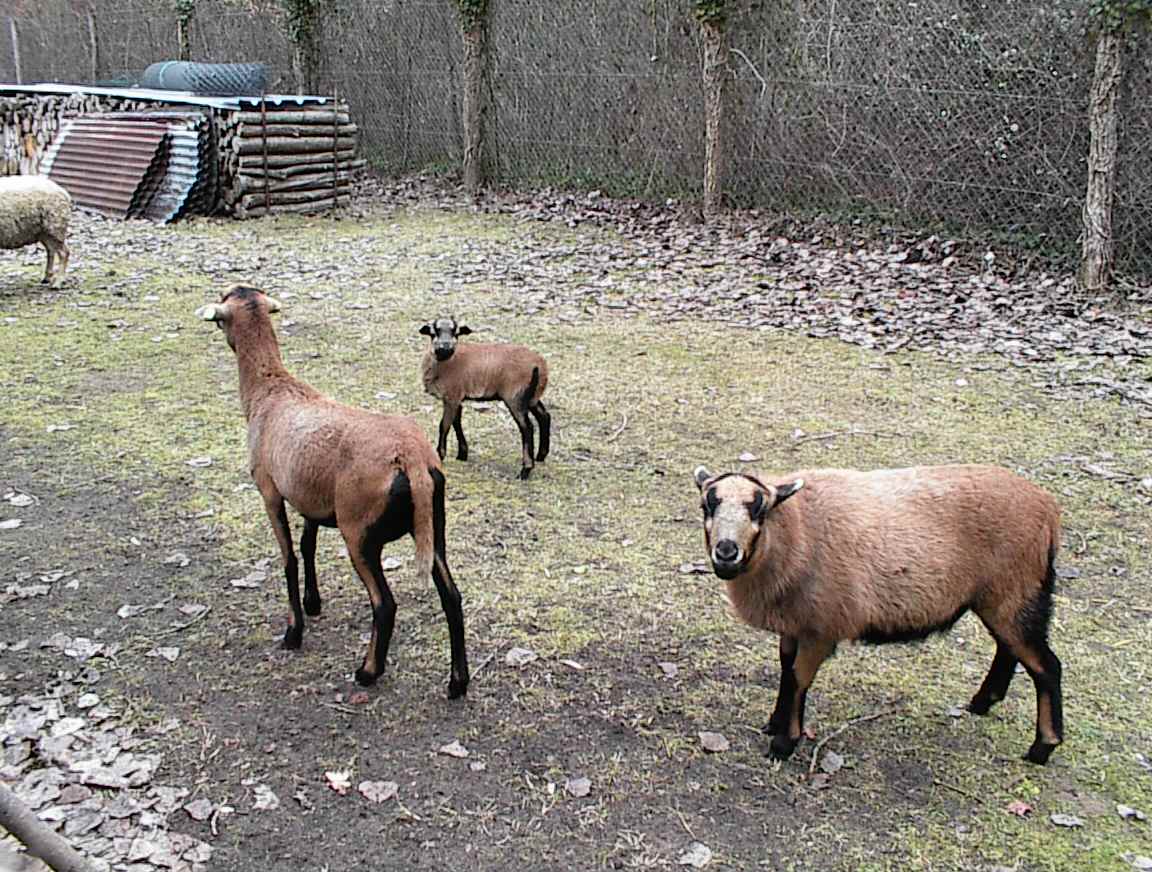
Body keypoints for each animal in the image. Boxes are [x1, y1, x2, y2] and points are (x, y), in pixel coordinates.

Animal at [196, 285, 467, 700]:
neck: (269, 389)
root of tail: (411, 458)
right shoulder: (311, 499)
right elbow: (307, 546)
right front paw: (313, 603)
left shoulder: (270, 490)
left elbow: (289, 557)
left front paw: (294, 632)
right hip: (432, 525)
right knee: (452, 596)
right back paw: (457, 682)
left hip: (359, 532)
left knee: (384, 604)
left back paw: (368, 671)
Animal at [691, 463, 1059, 760]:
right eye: (707, 505)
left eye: (760, 510)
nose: (726, 552)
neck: (797, 531)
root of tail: (1049, 509)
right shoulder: (795, 622)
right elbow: (785, 669)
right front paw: (774, 723)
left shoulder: (820, 628)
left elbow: (798, 678)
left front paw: (784, 744)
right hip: (1003, 597)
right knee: (1008, 648)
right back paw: (983, 702)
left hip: (1018, 589)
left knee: (1047, 666)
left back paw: (1042, 748)